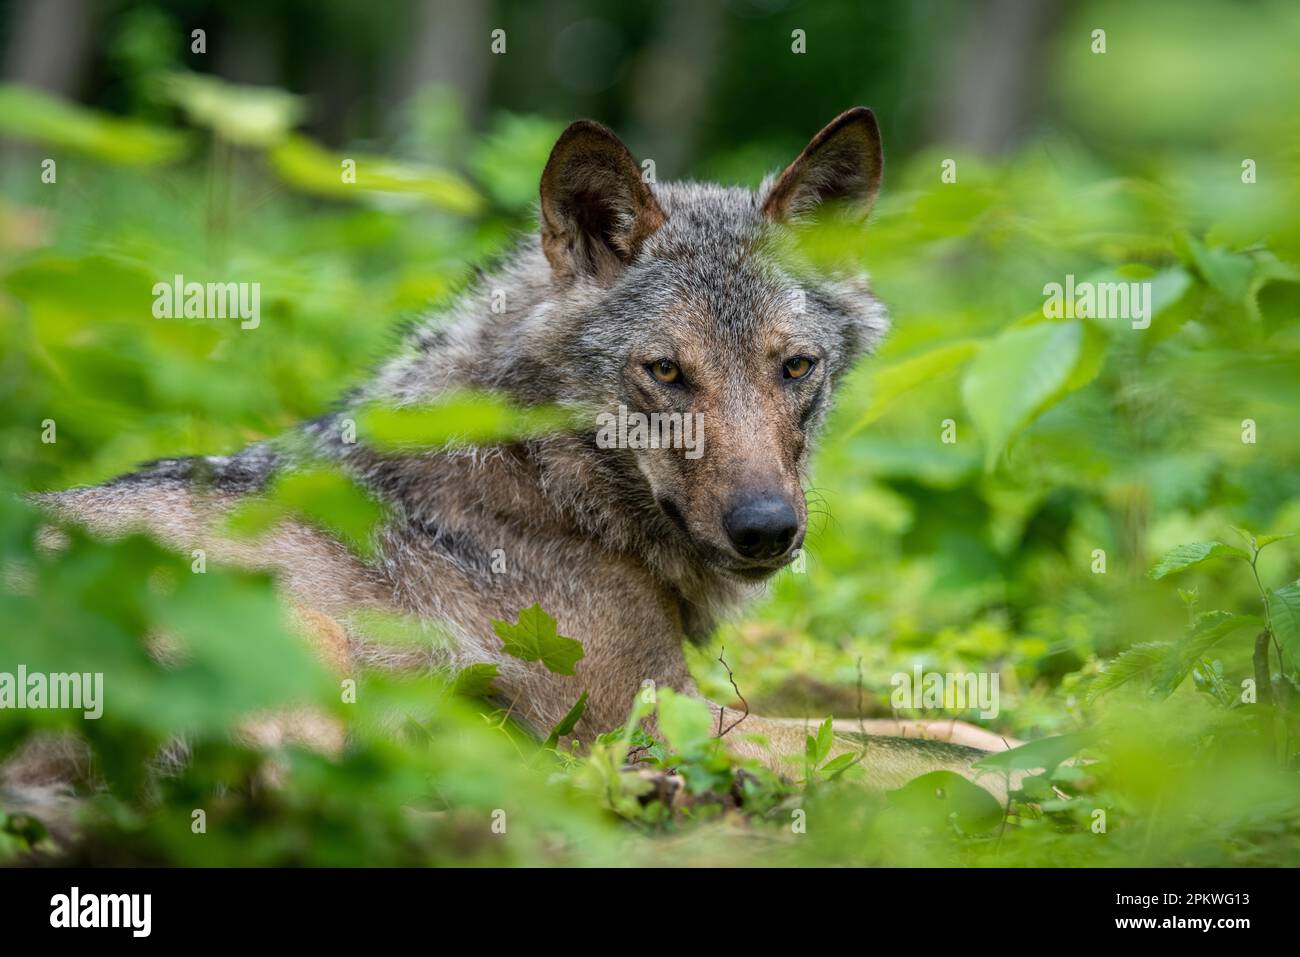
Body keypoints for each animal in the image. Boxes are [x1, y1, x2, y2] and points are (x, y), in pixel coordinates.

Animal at [12, 108, 1008, 812]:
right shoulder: (665, 709)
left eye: (795, 367)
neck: (551, 480)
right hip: (304, 647)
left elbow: (945, 727)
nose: (766, 530)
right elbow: (911, 754)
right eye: (666, 372)